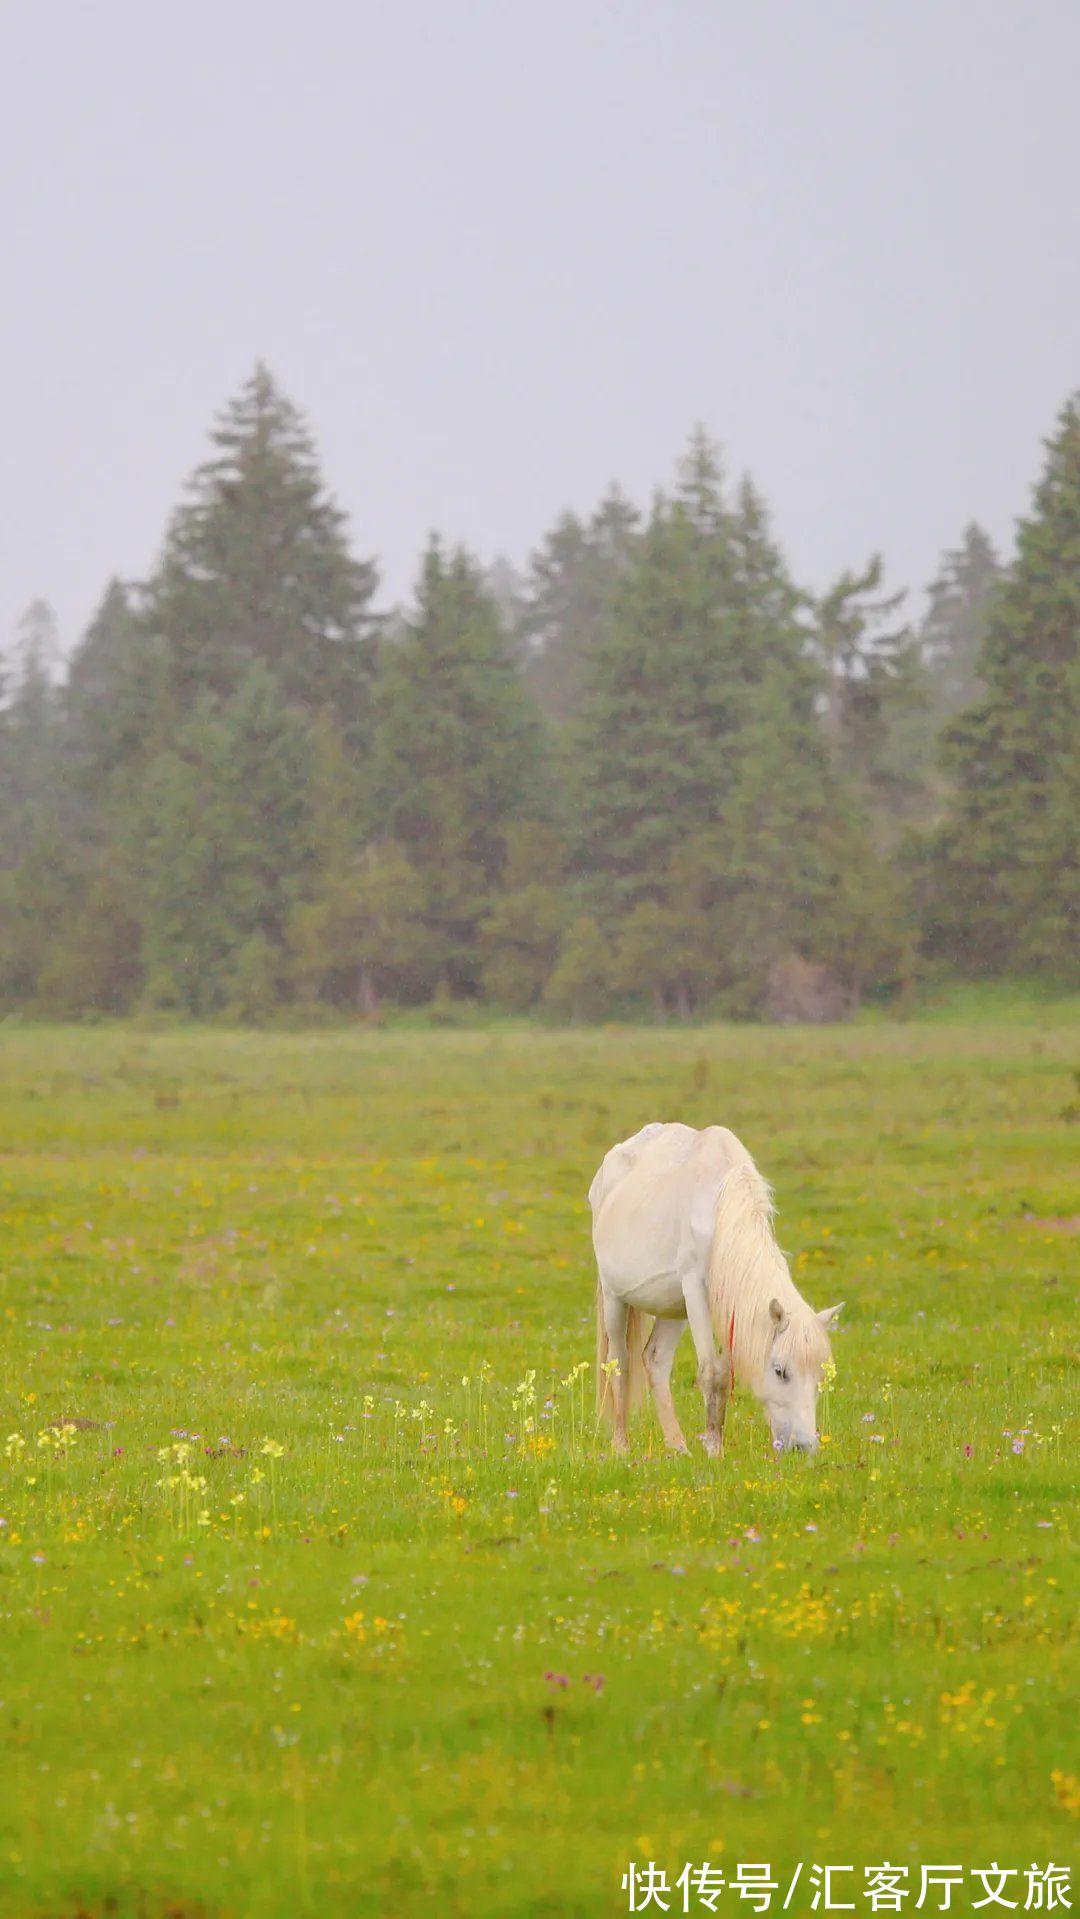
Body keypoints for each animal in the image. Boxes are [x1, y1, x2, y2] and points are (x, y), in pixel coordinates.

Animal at [590, 1120, 844, 1450]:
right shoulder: (696, 1289)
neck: (720, 1206)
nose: (804, 1446)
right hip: (615, 1298)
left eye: (819, 1376)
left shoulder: (730, 1303)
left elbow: (723, 1373)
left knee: (655, 1360)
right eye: (780, 1371)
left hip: (675, 1308)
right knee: (618, 1361)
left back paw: (678, 1448)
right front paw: (713, 1449)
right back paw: (621, 1446)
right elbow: (712, 1373)